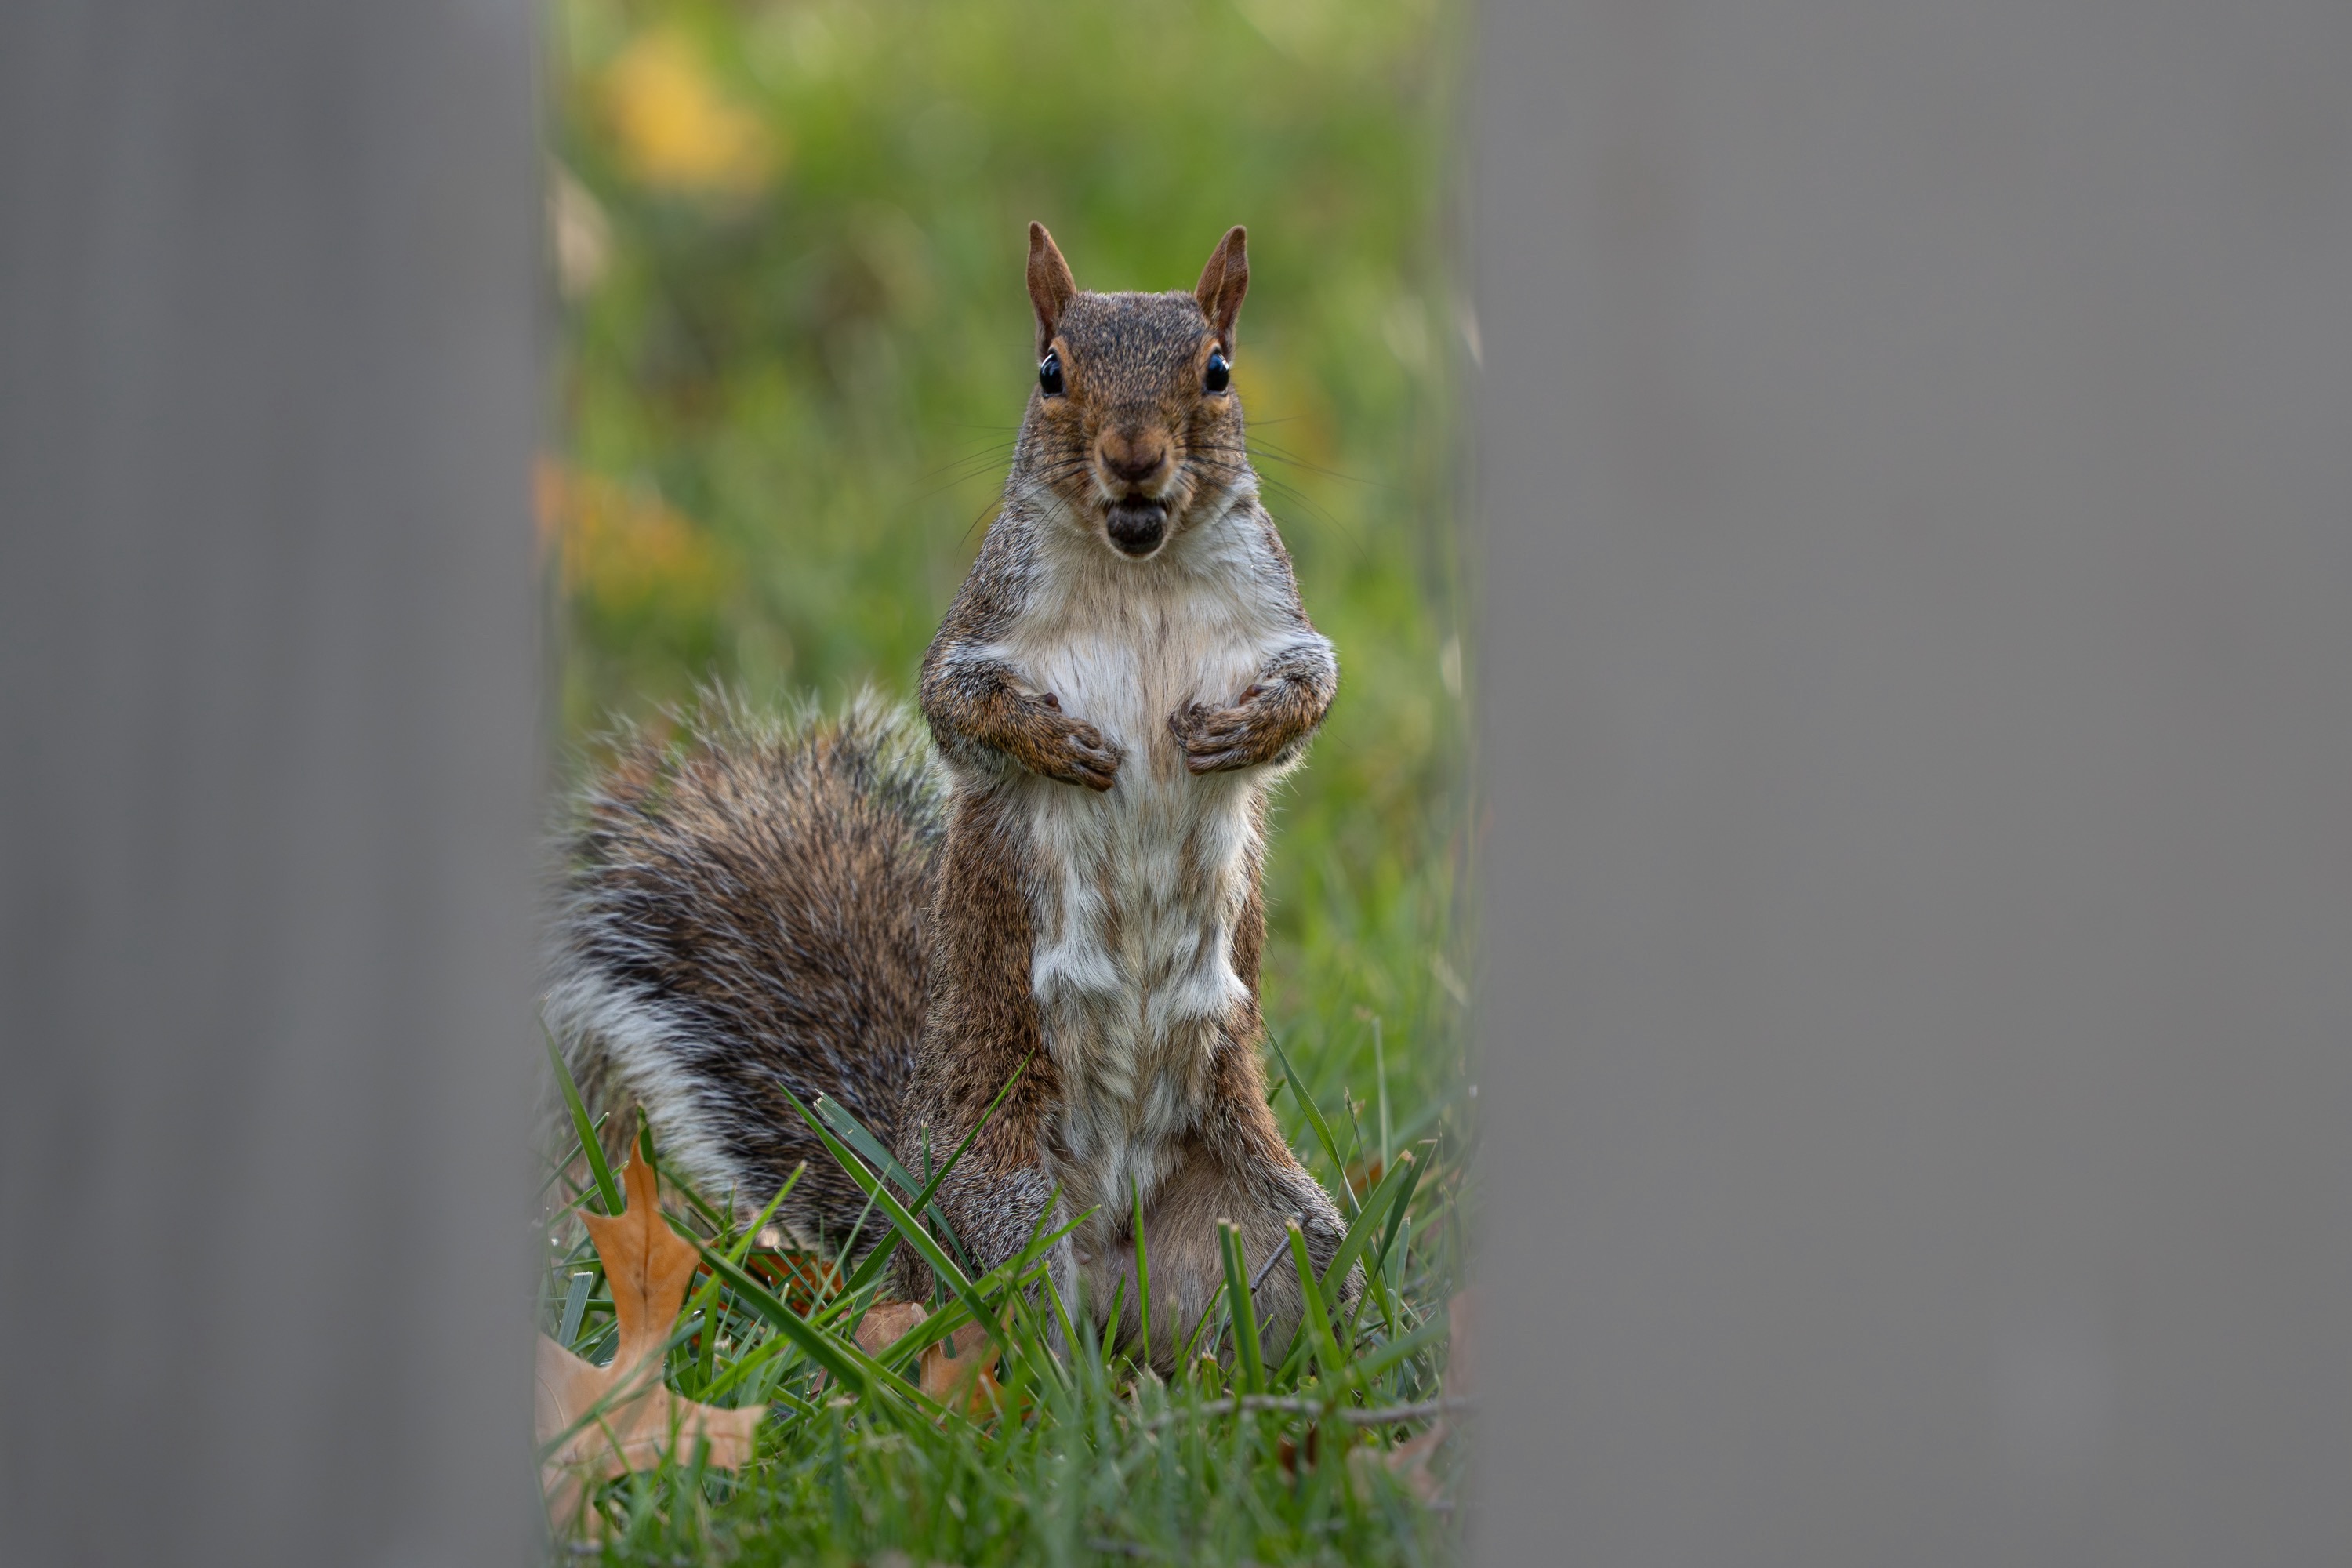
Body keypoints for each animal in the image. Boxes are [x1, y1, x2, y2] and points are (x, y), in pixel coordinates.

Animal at [546, 223, 1354, 1367]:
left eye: (1218, 371)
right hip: (1010, 1212)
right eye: (1050, 372)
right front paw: (1058, 742)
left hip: (1284, 1229)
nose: (1134, 456)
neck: (1139, 568)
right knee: (1011, 1333)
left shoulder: (1275, 610)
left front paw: (1242, 732)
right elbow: (955, 704)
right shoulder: (982, 618)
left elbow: (1312, 684)